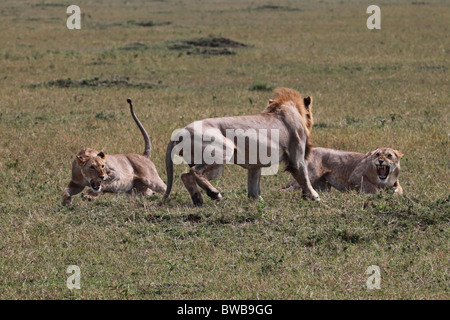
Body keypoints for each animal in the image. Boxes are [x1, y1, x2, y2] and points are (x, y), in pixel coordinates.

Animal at [163, 86, 320, 206]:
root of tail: (182, 131)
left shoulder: (255, 164)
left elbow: (253, 185)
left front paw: (258, 200)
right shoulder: (296, 157)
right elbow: (304, 176)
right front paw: (315, 196)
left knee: (185, 175)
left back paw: (198, 199)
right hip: (223, 150)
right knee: (195, 172)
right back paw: (214, 194)